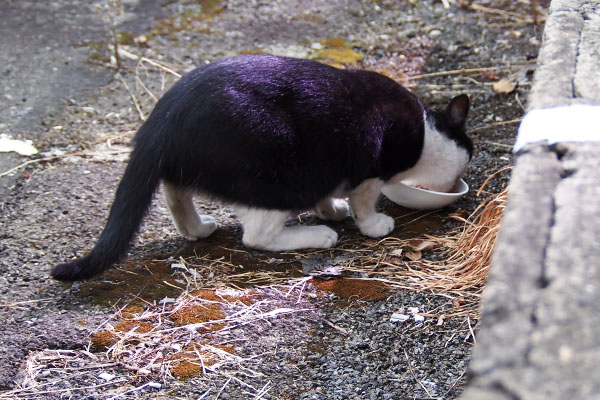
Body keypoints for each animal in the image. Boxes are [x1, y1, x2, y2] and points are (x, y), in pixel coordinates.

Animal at [51, 54, 474, 282]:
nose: (456, 183)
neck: (425, 135)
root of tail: (162, 120)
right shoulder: (369, 166)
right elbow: (365, 201)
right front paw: (371, 224)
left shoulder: (332, 168)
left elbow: (331, 195)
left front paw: (332, 209)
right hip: (281, 175)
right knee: (256, 237)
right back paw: (318, 236)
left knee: (175, 192)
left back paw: (196, 228)